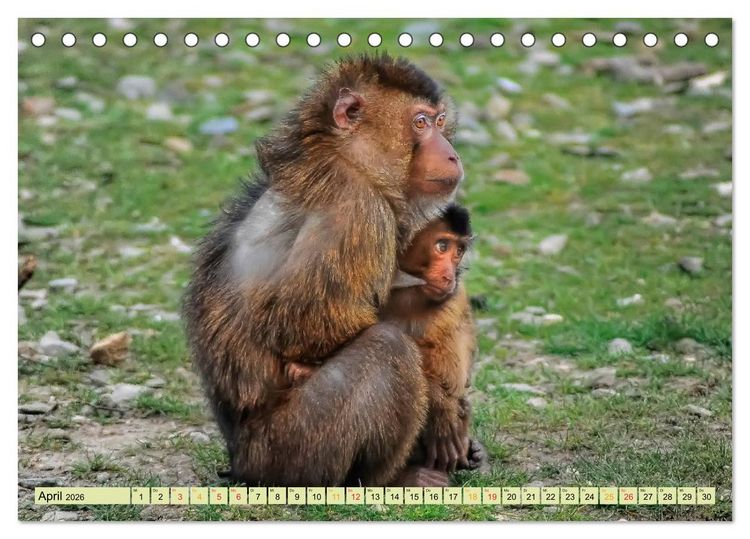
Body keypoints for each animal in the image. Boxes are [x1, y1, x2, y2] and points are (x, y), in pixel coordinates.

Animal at [183, 54, 464, 487]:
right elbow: (302, 323)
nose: (451, 154)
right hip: (289, 450)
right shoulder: (356, 209)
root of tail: (240, 460)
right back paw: (390, 479)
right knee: (388, 348)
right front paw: (439, 403)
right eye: (420, 123)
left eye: (439, 120)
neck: (348, 158)